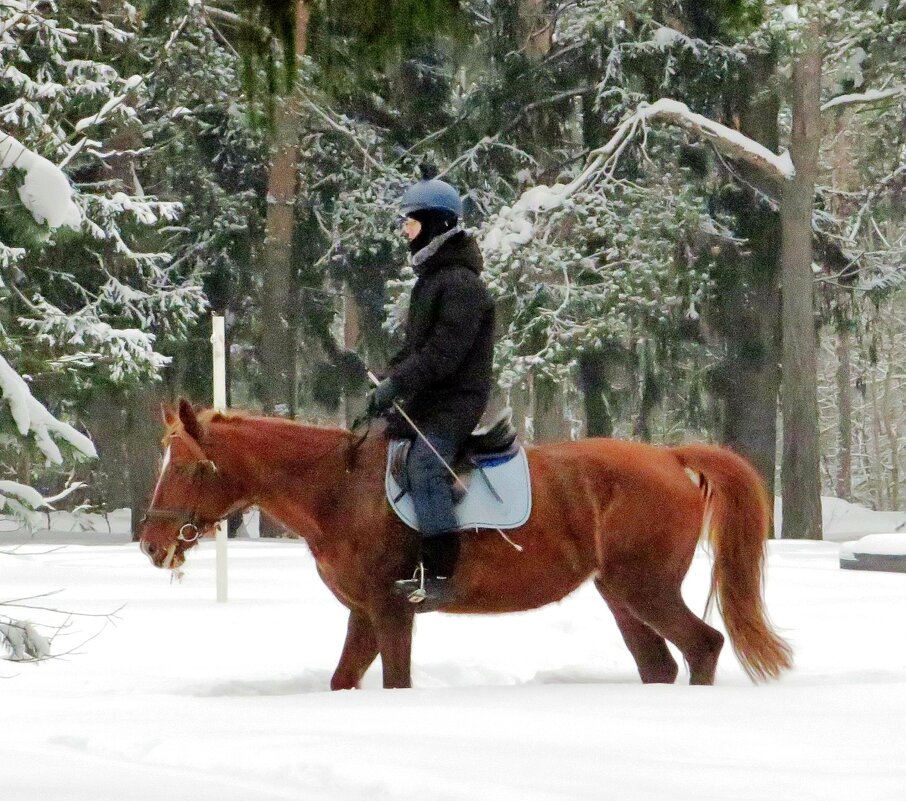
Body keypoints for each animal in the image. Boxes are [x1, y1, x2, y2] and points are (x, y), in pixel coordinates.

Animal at [139, 400, 792, 688]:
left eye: (192, 468)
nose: (150, 542)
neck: (339, 488)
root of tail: (669, 456)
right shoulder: (363, 614)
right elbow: (344, 679)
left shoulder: (392, 609)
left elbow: (395, 680)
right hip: (621, 594)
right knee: (660, 663)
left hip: (646, 587)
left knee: (703, 646)